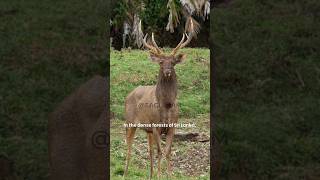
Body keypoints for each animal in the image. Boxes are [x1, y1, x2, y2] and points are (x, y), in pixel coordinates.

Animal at [122, 24, 192, 179]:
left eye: (173, 62)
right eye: (161, 62)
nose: (167, 71)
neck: (166, 105)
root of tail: (129, 94)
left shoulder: (172, 126)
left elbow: (167, 152)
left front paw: (169, 175)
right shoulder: (155, 126)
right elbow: (160, 152)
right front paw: (160, 176)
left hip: (147, 129)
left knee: (150, 151)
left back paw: (150, 175)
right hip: (130, 121)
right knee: (129, 147)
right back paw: (124, 174)